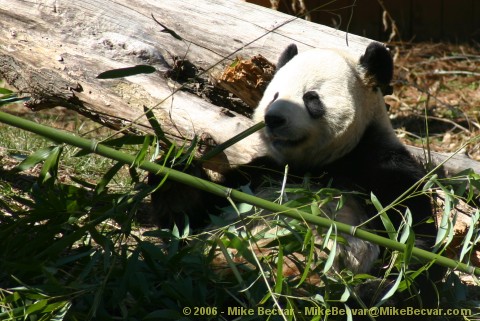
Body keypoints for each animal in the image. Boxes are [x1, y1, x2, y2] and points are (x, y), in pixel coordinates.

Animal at [148, 41, 444, 306]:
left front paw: (388, 284)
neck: (317, 165)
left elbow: (413, 243)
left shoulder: (381, 168)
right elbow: (193, 215)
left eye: (310, 98)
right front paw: (173, 172)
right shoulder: (263, 173)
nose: (273, 119)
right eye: (274, 95)